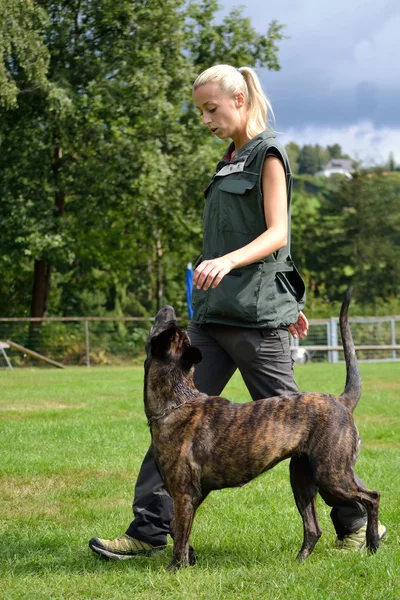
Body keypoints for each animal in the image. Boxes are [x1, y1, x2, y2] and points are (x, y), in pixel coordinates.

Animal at [145, 290, 380, 572]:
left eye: (167, 326)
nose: (168, 307)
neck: (177, 399)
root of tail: (342, 401)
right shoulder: (194, 495)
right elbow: (177, 529)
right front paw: (191, 559)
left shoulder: (183, 493)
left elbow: (178, 534)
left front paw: (175, 569)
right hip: (302, 479)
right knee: (314, 528)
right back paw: (299, 561)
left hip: (332, 475)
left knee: (372, 497)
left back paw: (373, 543)